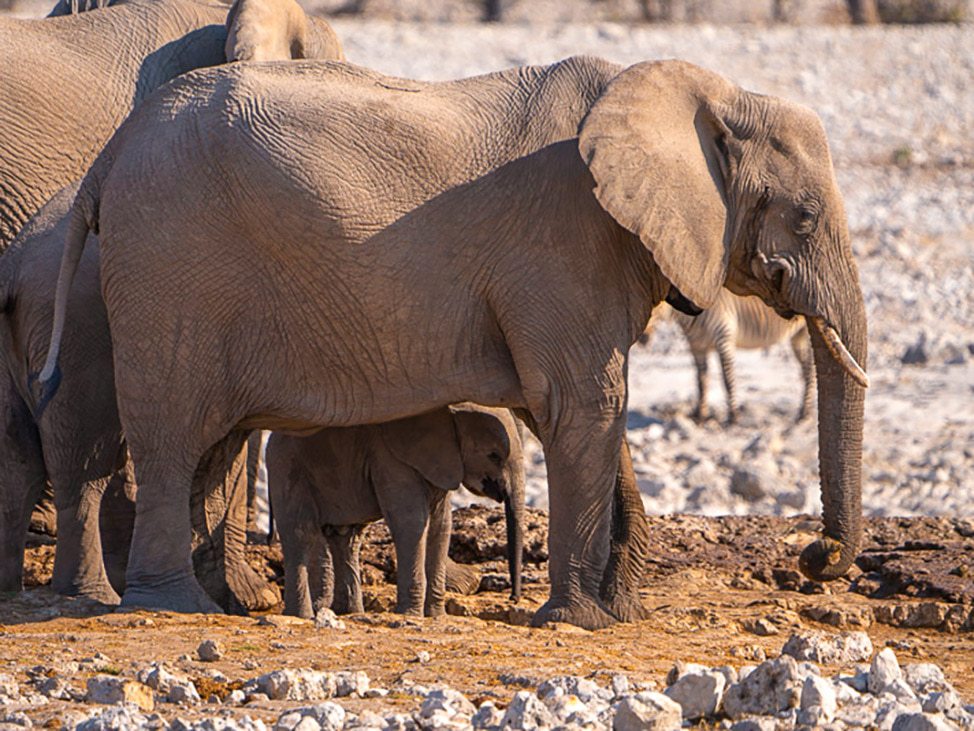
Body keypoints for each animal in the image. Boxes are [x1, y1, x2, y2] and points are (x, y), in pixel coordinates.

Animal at [0, 182, 279, 611]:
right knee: (82, 462)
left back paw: (11, 589)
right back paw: (93, 593)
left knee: (19, 461)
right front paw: (252, 600)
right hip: (79, 337)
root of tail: (13, 265)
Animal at [266, 405, 525, 618]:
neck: (450, 412)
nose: (514, 598)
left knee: (347, 538)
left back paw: (348, 612)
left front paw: (436, 616)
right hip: (287, 469)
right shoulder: (390, 460)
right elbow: (412, 522)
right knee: (300, 535)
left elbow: (441, 526)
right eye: (494, 455)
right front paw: (410, 615)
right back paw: (301, 615)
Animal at [659, 290, 814, 423]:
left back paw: (806, 414)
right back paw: (804, 412)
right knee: (807, 370)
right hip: (798, 336)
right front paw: (700, 415)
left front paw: (733, 417)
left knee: (811, 371)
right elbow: (701, 381)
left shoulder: (724, 337)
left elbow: (727, 379)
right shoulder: (697, 347)